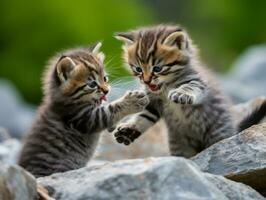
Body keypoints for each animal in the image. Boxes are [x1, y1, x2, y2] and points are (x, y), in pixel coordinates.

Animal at [18, 43, 150, 177]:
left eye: (105, 78)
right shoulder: (83, 117)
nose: (106, 90)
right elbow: (109, 110)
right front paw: (132, 100)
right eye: (92, 84)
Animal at [112, 24, 266, 157]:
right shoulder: (153, 102)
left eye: (157, 68)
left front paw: (181, 93)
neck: (165, 87)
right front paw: (129, 128)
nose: (146, 81)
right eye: (138, 69)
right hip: (179, 143)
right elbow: (143, 115)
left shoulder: (197, 81)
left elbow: (190, 87)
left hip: (217, 133)